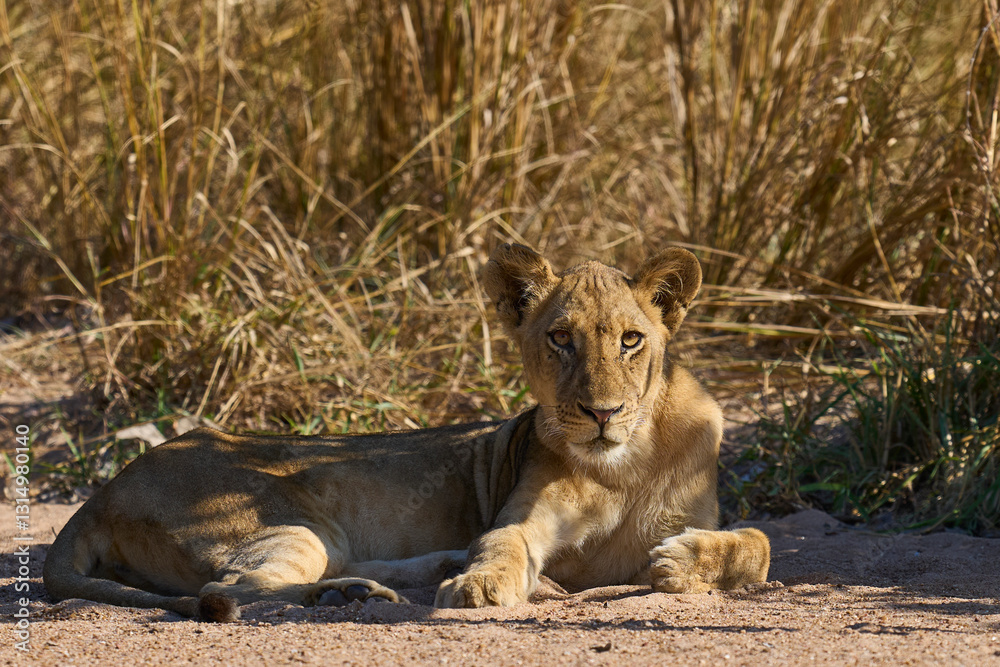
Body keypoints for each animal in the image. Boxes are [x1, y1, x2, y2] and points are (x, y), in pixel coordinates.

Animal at [43, 243, 770, 621]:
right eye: (561, 338)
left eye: (630, 340)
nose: (601, 413)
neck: (627, 461)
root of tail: (100, 493)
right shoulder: (525, 518)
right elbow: (502, 542)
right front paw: (482, 585)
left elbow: (758, 542)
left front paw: (682, 562)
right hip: (293, 525)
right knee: (226, 592)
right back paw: (351, 594)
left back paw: (416, 571)